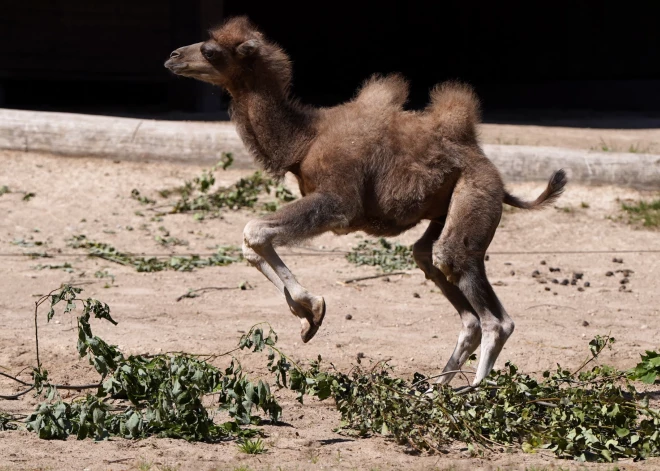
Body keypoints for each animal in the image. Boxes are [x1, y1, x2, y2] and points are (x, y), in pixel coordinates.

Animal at [166, 16, 568, 390]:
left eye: (210, 51)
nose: (172, 56)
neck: (304, 141)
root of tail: (491, 170)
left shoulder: (338, 202)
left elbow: (255, 231)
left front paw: (312, 308)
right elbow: (253, 242)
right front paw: (307, 317)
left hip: (475, 194)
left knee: (491, 312)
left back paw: (474, 395)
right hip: (446, 210)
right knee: (439, 273)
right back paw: (434, 390)